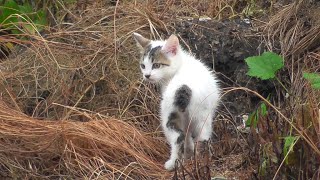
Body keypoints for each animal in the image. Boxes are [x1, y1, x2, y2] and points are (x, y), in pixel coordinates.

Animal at [132, 32, 220, 170]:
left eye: (156, 65)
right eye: (143, 66)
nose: (147, 75)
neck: (180, 65)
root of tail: (184, 86)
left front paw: (187, 154)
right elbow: (189, 136)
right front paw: (189, 152)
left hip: (167, 114)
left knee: (178, 138)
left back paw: (172, 164)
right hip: (202, 116)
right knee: (203, 138)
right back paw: (201, 161)